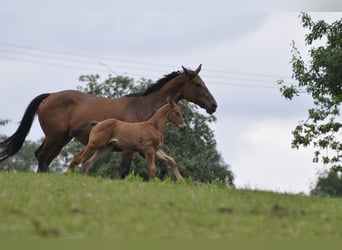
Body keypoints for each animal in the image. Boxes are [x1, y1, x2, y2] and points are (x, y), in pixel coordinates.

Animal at [0, 64, 218, 176]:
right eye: (198, 84)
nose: (214, 105)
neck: (145, 109)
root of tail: (49, 96)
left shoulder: (145, 149)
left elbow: (164, 165)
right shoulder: (131, 149)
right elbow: (125, 171)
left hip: (60, 139)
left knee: (43, 157)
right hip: (56, 137)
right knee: (44, 157)